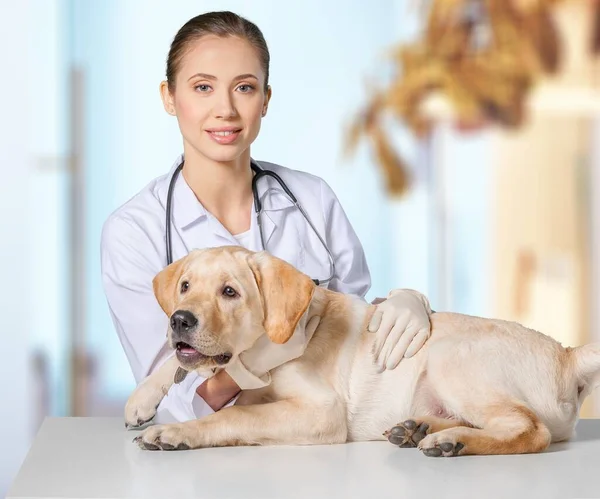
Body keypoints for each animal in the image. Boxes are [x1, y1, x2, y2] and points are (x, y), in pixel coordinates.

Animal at [125, 246, 600, 458]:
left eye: (229, 292)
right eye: (185, 286)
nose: (180, 320)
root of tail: (567, 354)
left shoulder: (322, 411)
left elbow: (235, 416)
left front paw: (176, 432)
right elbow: (175, 364)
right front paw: (141, 400)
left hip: (452, 357)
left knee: (529, 429)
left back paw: (450, 441)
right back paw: (416, 429)